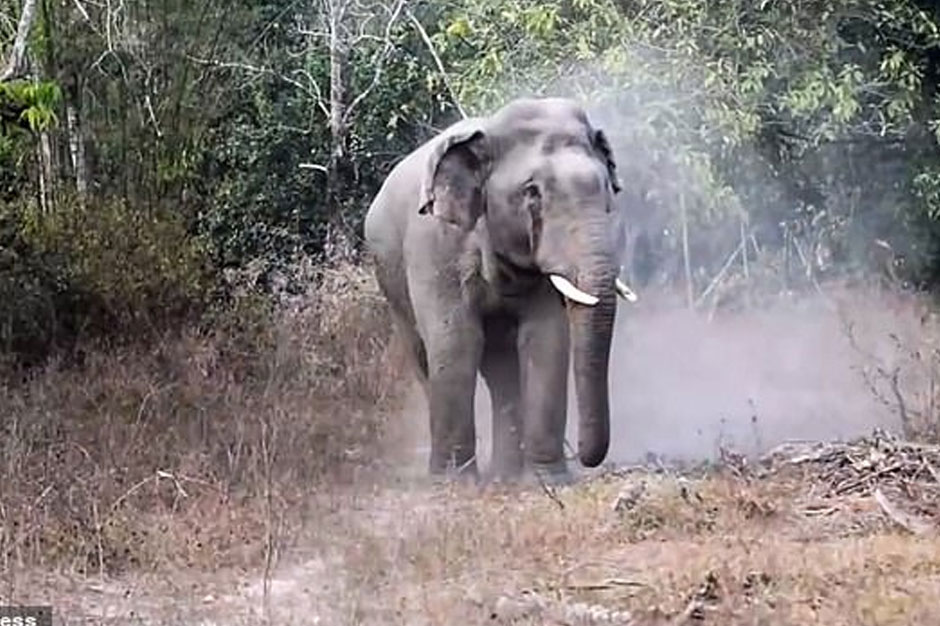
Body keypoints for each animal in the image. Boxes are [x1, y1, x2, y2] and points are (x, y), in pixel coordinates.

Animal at [363, 97, 636, 484]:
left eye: (608, 191)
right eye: (532, 192)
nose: (585, 458)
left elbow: (546, 338)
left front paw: (548, 481)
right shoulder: (435, 244)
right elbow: (456, 339)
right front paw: (455, 484)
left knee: (500, 369)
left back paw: (506, 476)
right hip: (392, 282)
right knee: (425, 356)